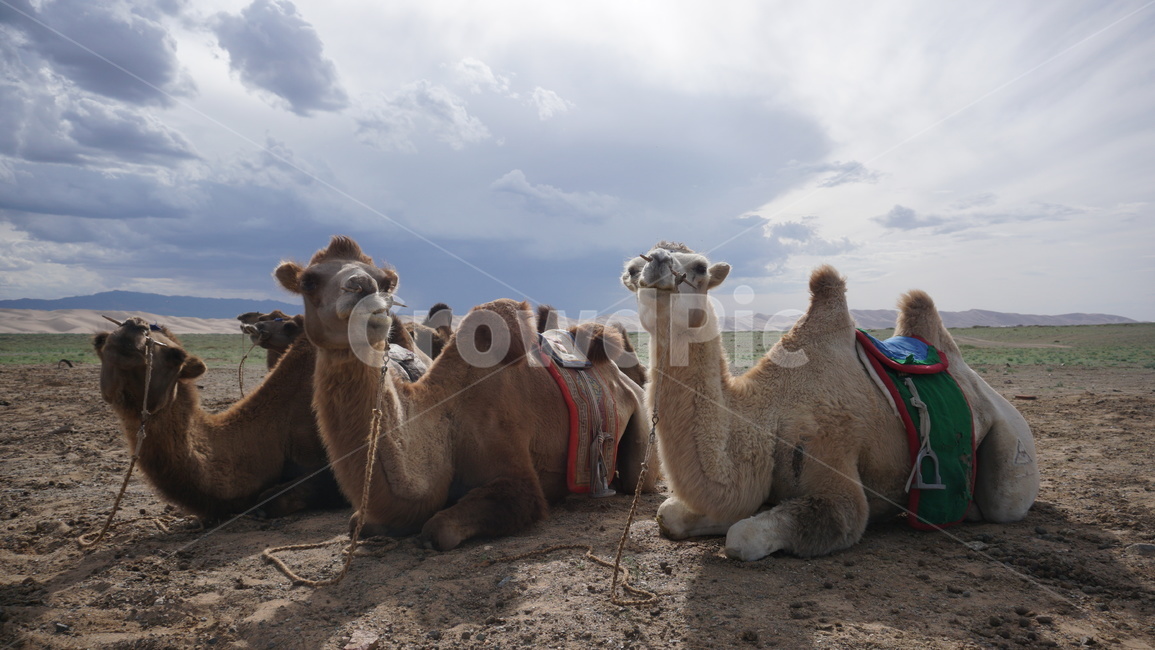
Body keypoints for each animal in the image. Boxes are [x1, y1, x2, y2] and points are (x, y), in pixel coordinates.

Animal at [274, 235, 656, 550]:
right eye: (309, 281)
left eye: (383, 282)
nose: (363, 288)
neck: (447, 419)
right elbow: (357, 521)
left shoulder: (515, 471)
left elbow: (439, 529)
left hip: (641, 426)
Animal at [621, 242, 1039, 560]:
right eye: (632, 268)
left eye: (700, 266)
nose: (654, 263)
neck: (765, 415)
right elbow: (670, 514)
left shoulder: (832, 457)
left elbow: (744, 537)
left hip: (1012, 445)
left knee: (1004, 502)